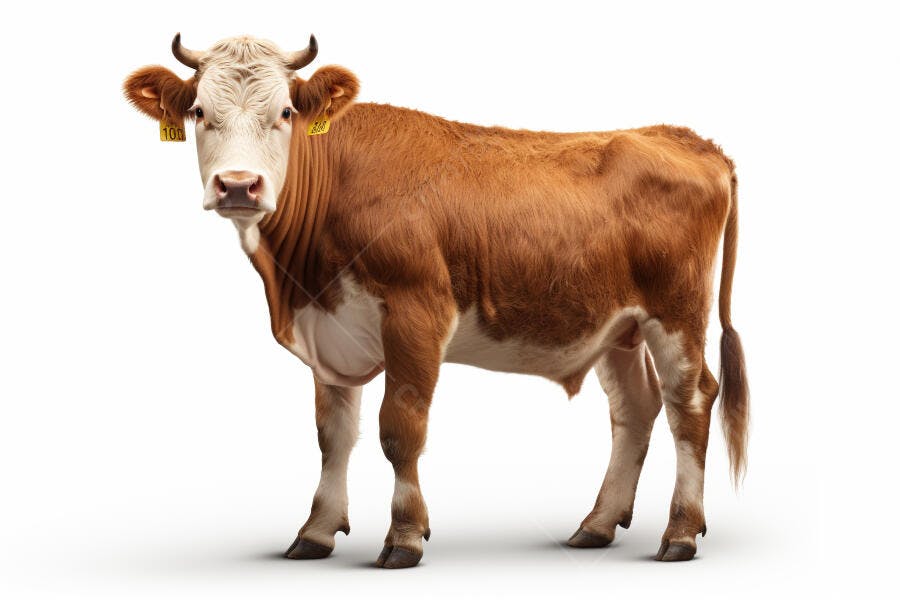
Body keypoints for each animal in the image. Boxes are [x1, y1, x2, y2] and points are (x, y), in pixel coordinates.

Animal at [124, 34, 749, 568]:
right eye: (198, 112)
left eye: (284, 113)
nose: (237, 185)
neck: (299, 280)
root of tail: (683, 138)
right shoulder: (329, 327)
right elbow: (333, 436)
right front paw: (316, 532)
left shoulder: (417, 313)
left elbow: (399, 429)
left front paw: (403, 537)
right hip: (619, 324)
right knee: (635, 409)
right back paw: (596, 525)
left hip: (676, 312)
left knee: (691, 401)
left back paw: (680, 533)